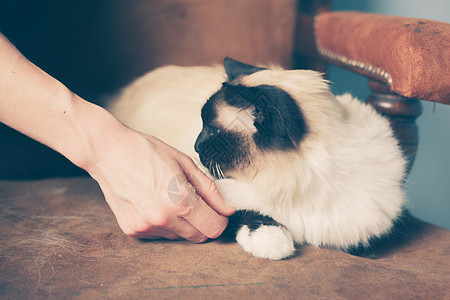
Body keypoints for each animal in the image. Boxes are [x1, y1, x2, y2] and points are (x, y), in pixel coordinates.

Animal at [109, 57, 408, 258]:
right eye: (201, 124)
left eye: (212, 130)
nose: (195, 145)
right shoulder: (221, 196)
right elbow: (247, 212)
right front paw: (274, 243)